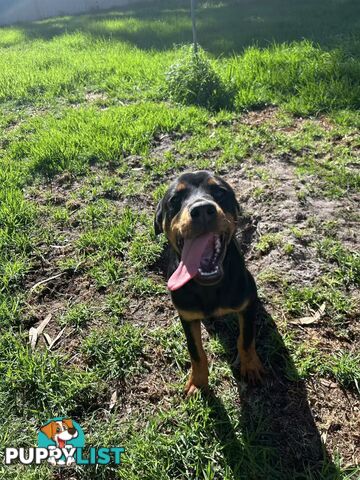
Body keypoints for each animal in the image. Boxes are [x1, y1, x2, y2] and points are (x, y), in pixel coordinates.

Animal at [155, 171, 264, 396]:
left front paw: (250, 365)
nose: (203, 210)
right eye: (175, 200)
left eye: (219, 192)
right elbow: (195, 351)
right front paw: (198, 382)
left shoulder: (247, 303)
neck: (209, 286)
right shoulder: (187, 315)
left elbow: (246, 339)